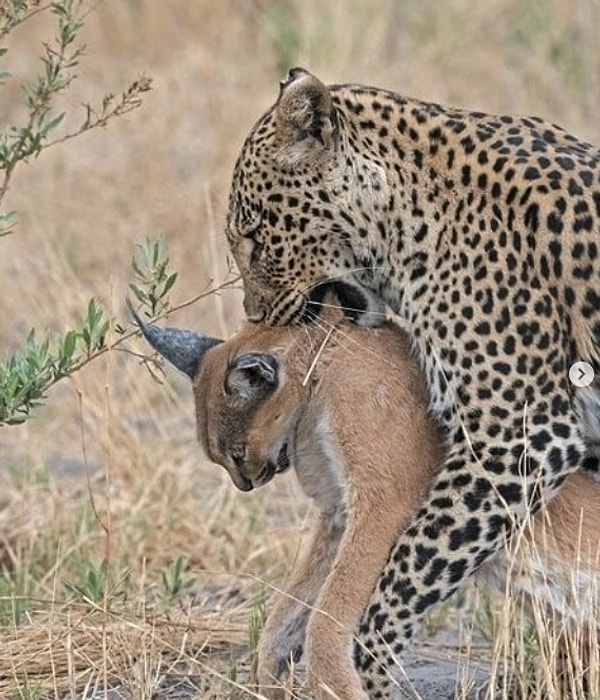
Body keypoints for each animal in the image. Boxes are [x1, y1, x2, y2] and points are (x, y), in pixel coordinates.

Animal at [130, 302, 600, 700]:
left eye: (236, 454)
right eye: (224, 458)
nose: (246, 484)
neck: (323, 370)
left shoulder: (381, 500)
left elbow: (328, 611)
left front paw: (333, 684)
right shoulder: (337, 511)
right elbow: (294, 603)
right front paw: (269, 669)